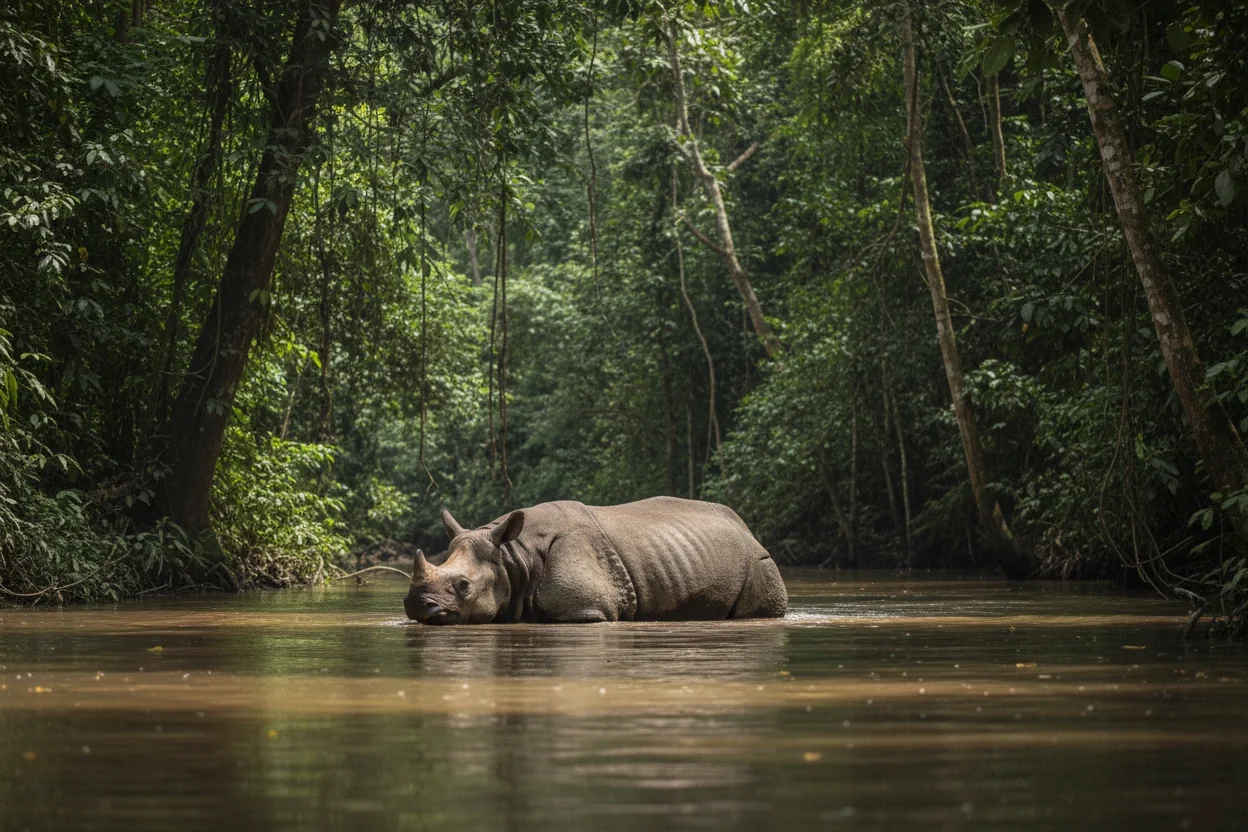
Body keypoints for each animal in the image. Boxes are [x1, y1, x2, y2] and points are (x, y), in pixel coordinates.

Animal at [403, 497, 787, 624]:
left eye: (464, 586)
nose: (418, 606)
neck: (512, 556)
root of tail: (747, 529)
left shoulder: (584, 609)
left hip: (760, 560)